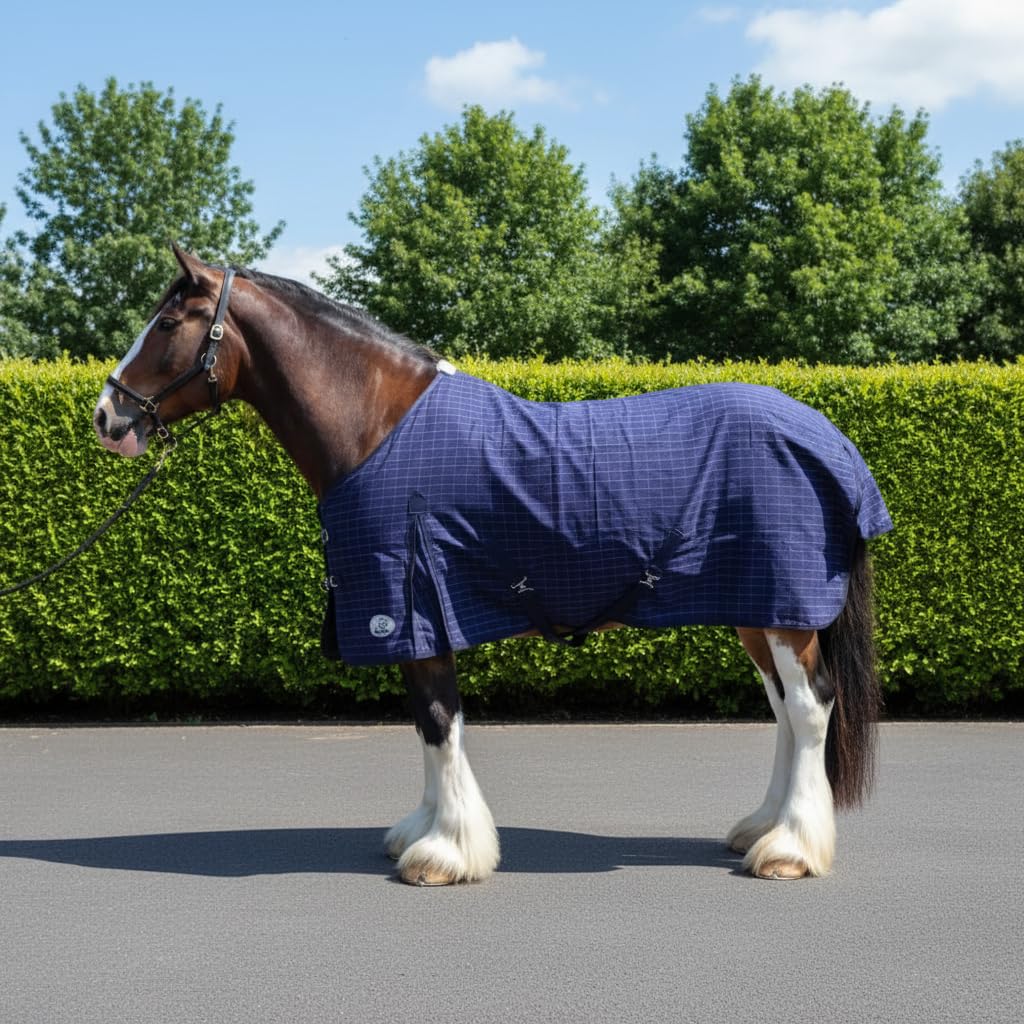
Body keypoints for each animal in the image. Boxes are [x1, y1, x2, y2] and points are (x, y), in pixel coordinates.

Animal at [93, 244, 892, 885]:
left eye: (168, 325)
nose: (107, 416)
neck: (380, 428)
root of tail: (828, 440)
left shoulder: (411, 601)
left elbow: (439, 720)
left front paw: (445, 854)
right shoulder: (412, 617)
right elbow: (426, 724)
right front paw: (422, 833)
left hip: (782, 610)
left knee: (812, 705)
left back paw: (791, 850)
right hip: (758, 607)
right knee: (785, 708)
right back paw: (762, 828)